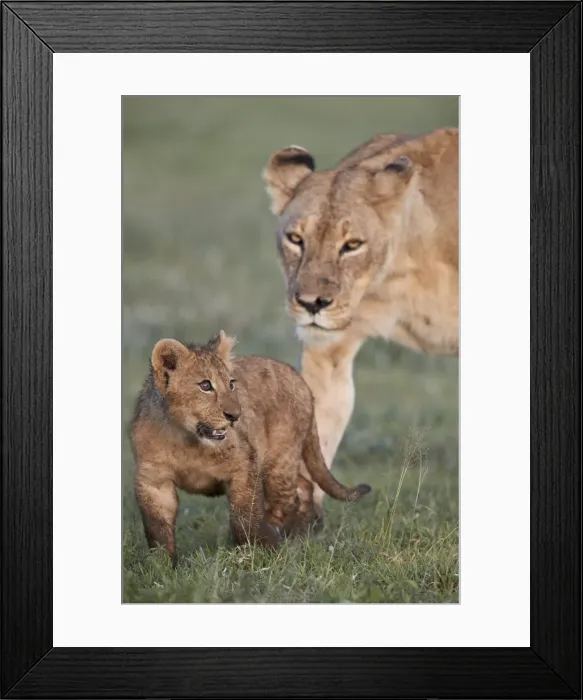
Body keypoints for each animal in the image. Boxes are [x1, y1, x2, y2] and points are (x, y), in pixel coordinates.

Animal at [131, 330, 371, 566]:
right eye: (205, 385)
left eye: (231, 384)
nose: (235, 416)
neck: (187, 440)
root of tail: (299, 379)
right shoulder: (154, 481)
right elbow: (158, 529)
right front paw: (160, 566)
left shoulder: (244, 465)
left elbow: (244, 517)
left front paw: (258, 550)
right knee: (304, 486)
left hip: (280, 460)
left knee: (287, 499)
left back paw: (286, 537)